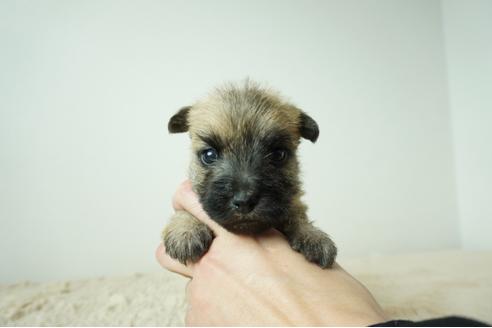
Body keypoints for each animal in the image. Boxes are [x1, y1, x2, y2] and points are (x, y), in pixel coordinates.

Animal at [163, 80, 336, 268]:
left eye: (278, 154)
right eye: (209, 155)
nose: (244, 202)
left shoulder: (292, 203)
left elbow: (297, 213)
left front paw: (312, 235)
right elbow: (184, 212)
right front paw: (185, 230)